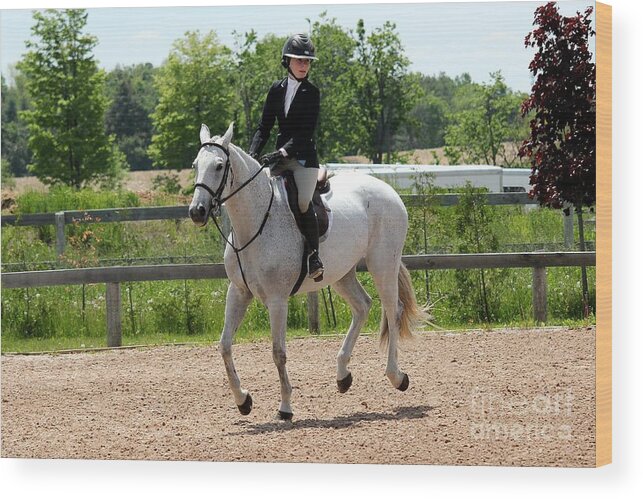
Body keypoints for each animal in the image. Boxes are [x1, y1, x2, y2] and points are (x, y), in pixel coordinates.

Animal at [189, 123, 426, 420]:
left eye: (219, 166)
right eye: (196, 165)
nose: (197, 211)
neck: (255, 223)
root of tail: (388, 190)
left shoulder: (277, 300)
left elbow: (278, 352)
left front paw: (285, 407)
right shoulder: (239, 292)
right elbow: (224, 345)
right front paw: (243, 400)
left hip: (383, 264)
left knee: (393, 311)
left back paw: (397, 376)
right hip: (342, 273)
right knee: (362, 306)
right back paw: (342, 375)